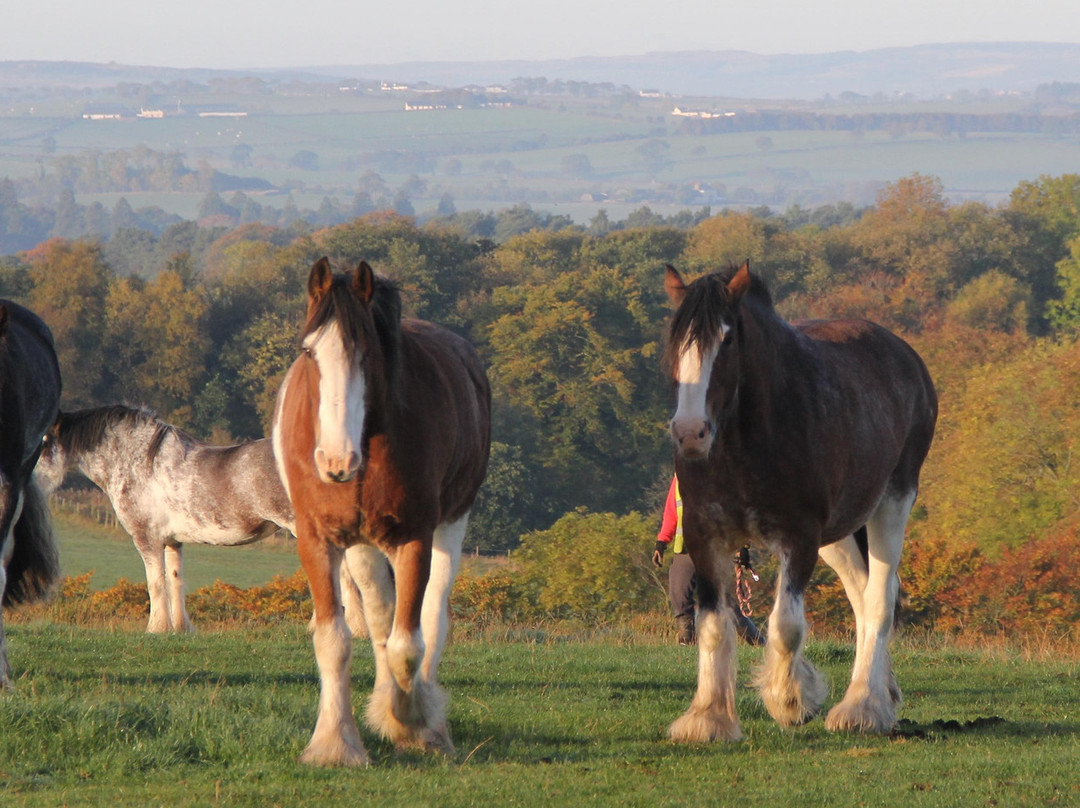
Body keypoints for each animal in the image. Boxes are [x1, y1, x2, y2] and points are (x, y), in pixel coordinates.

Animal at [272, 257, 492, 764]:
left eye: (366, 354)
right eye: (309, 352)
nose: (335, 461)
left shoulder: (415, 537)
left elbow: (408, 645)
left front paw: (412, 723)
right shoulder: (319, 540)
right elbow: (335, 640)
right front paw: (336, 742)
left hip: (451, 524)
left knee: (430, 616)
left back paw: (424, 717)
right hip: (361, 546)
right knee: (377, 617)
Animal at [656, 262, 937, 743]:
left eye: (727, 340)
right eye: (676, 340)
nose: (690, 432)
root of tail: (907, 357)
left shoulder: (799, 537)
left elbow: (785, 626)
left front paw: (790, 701)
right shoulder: (704, 536)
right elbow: (712, 626)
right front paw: (709, 717)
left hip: (891, 502)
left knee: (879, 598)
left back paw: (863, 706)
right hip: (837, 536)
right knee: (861, 594)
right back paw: (882, 691)